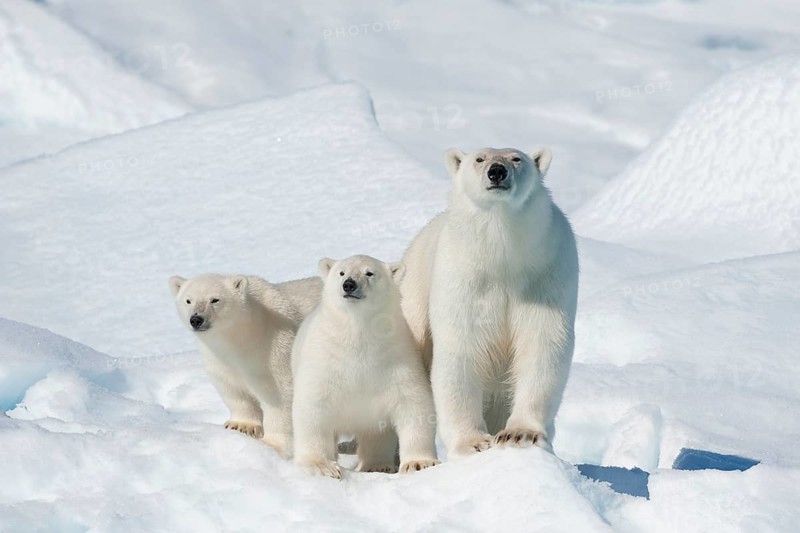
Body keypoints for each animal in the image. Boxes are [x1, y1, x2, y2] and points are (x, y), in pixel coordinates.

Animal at [169, 273, 321, 457]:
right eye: (188, 300)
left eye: (215, 299)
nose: (196, 319)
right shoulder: (219, 359)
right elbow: (232, 389)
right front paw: (241, 426)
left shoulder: (275, 348)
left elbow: (280, 396)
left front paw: (272, 444)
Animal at [291, 255, 439, 479]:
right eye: (341, 272)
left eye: (370, 273)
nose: (349, 285)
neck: (358, 335)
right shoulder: (324, 360)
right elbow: (312, 405)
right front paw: (322, 466)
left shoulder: (396, 358)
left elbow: (413, 402)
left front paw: (418, 463)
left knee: (376, 432)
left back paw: (377, 464)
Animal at [399, 147, 579, 459]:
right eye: (479, 159)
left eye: (517, 158)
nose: (497, 171)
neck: (502, 254)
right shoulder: (462, 277)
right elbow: (461, 349)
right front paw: (473, 442)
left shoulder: (548, 272)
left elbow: (542, 343)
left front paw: (520, 434)